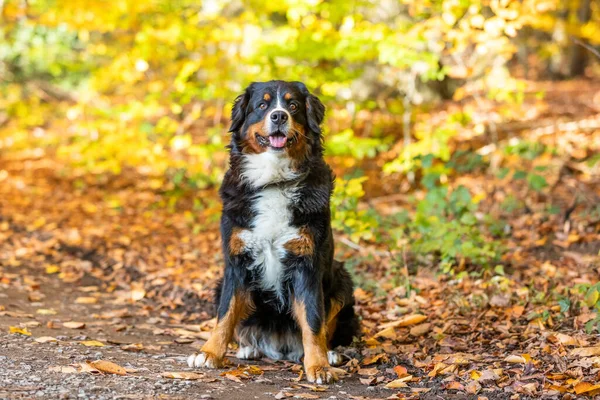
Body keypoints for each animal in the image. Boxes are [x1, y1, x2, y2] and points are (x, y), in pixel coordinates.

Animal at [186, 79, 356, 382]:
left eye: (293, 105)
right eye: (262, 105)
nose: (278, 116)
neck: (274, 182)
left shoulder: (307, 264)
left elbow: (314, 321)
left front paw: (318, 365)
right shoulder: (236, 262)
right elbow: (225, 314)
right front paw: (209, 353)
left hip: (342, 279)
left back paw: (329, 354)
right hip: (219, 284)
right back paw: (248, 347)